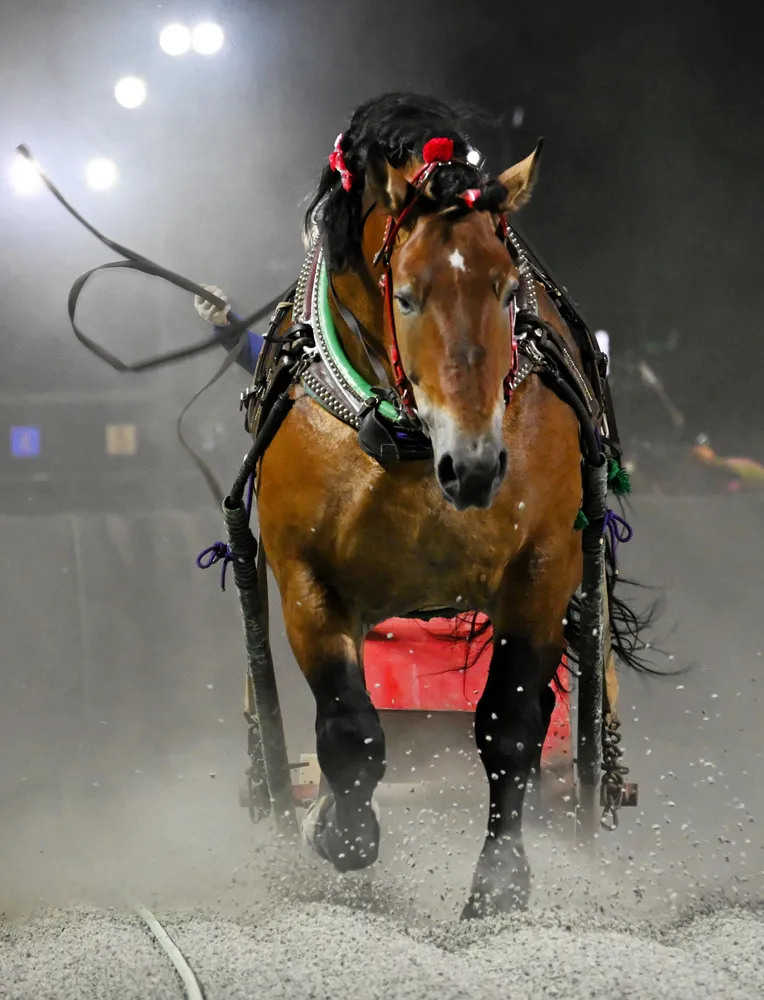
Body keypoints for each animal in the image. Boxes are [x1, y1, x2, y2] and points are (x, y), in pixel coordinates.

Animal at [248, 92, 642, 918]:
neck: (411, 443)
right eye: (406, 294)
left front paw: (500, 882)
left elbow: (511, 725)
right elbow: (350, 731)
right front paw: (338, 830)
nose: (477, 464)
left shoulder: (541, 571)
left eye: (507, 289)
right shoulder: (307, 578)